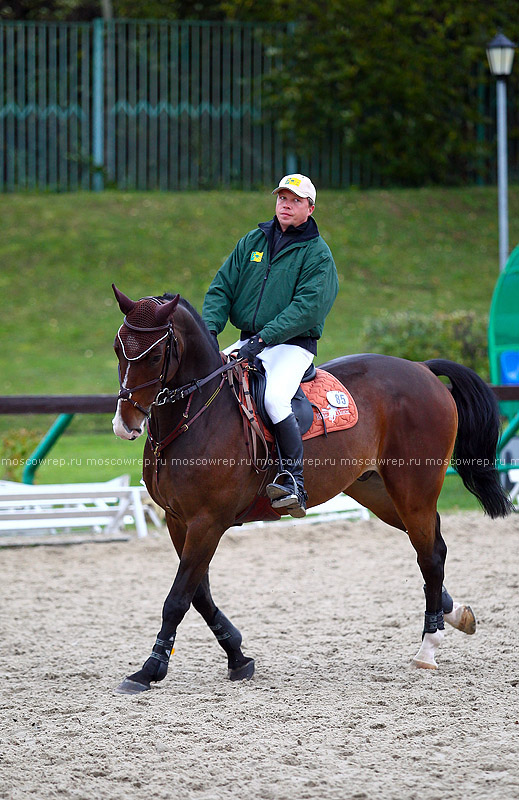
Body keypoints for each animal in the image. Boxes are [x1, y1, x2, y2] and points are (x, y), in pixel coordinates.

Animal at [109, 286, 512, 692]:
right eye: (117, 348)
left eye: (155, 355)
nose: (124, 424)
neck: (197, 414)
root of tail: (423, 368)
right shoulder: (179, 520)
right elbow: (199, 595)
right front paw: (238, 656)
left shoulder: (207, 522)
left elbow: (179, 598)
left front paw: (150, 668)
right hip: (380, 494)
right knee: (433, 547)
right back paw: (455, 615)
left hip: (414, 491)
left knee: (429, 557)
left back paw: (428, 648)